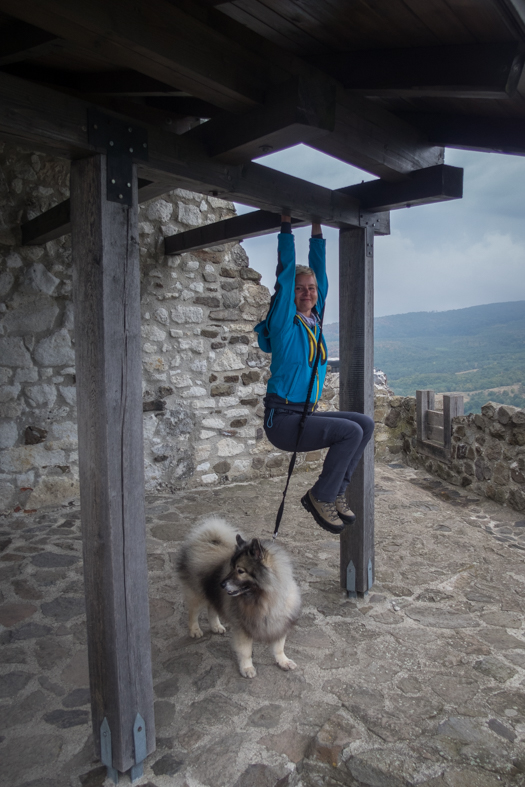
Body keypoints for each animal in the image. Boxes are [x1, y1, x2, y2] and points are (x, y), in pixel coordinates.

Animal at [175, 516, 298, 676]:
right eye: (231, 567)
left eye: (240, 571)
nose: (221, 584)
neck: (264, 599)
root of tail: (205, 542)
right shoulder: (242, 628)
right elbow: (246, 651)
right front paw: (247, 668)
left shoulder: (279, 623)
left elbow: (279, 647)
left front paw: (283, 661)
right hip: (197, 595)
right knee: (193, 613)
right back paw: (195, 630)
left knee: (212, 609)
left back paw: (216, 626)